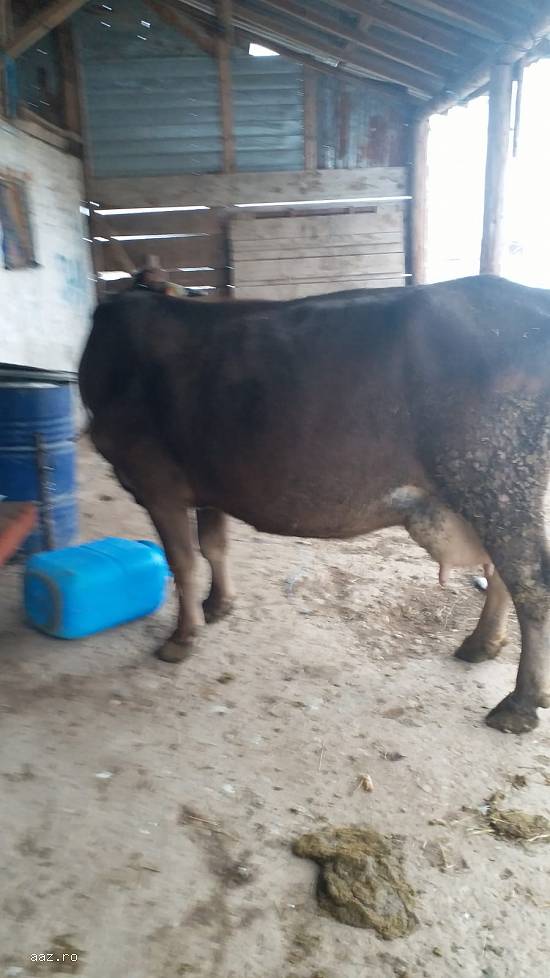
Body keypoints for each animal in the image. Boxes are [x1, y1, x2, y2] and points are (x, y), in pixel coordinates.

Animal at [78, 275, 550, 734]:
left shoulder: (156, 482)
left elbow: (183, 562)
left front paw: (182, 638)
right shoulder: (209, 483)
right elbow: (214, 546)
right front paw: (217, 605)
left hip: (498, 481)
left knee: (532, 586)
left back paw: (519, 704)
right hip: (497, 495)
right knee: (506, 573)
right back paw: (482, 644)